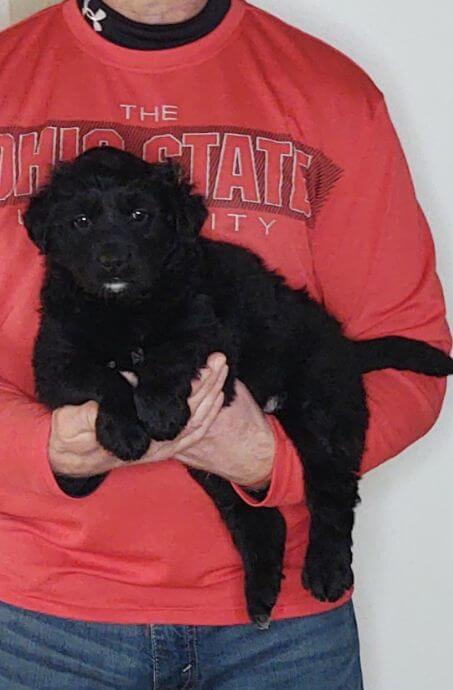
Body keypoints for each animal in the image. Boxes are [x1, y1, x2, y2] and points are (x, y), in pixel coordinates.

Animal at [25, 148, 452, 628]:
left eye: (139, 215)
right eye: (80, 221)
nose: (113, 260)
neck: (124, 308)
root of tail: (344, 344)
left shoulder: (206, 330)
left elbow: (168, 353)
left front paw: (157, 409)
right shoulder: (55, 359)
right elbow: (104, 377)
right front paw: (125, 430)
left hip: (324, 409)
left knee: (333, 493)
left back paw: (327, 570)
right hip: (217, 463)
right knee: (260, 518)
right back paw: (262, 593)